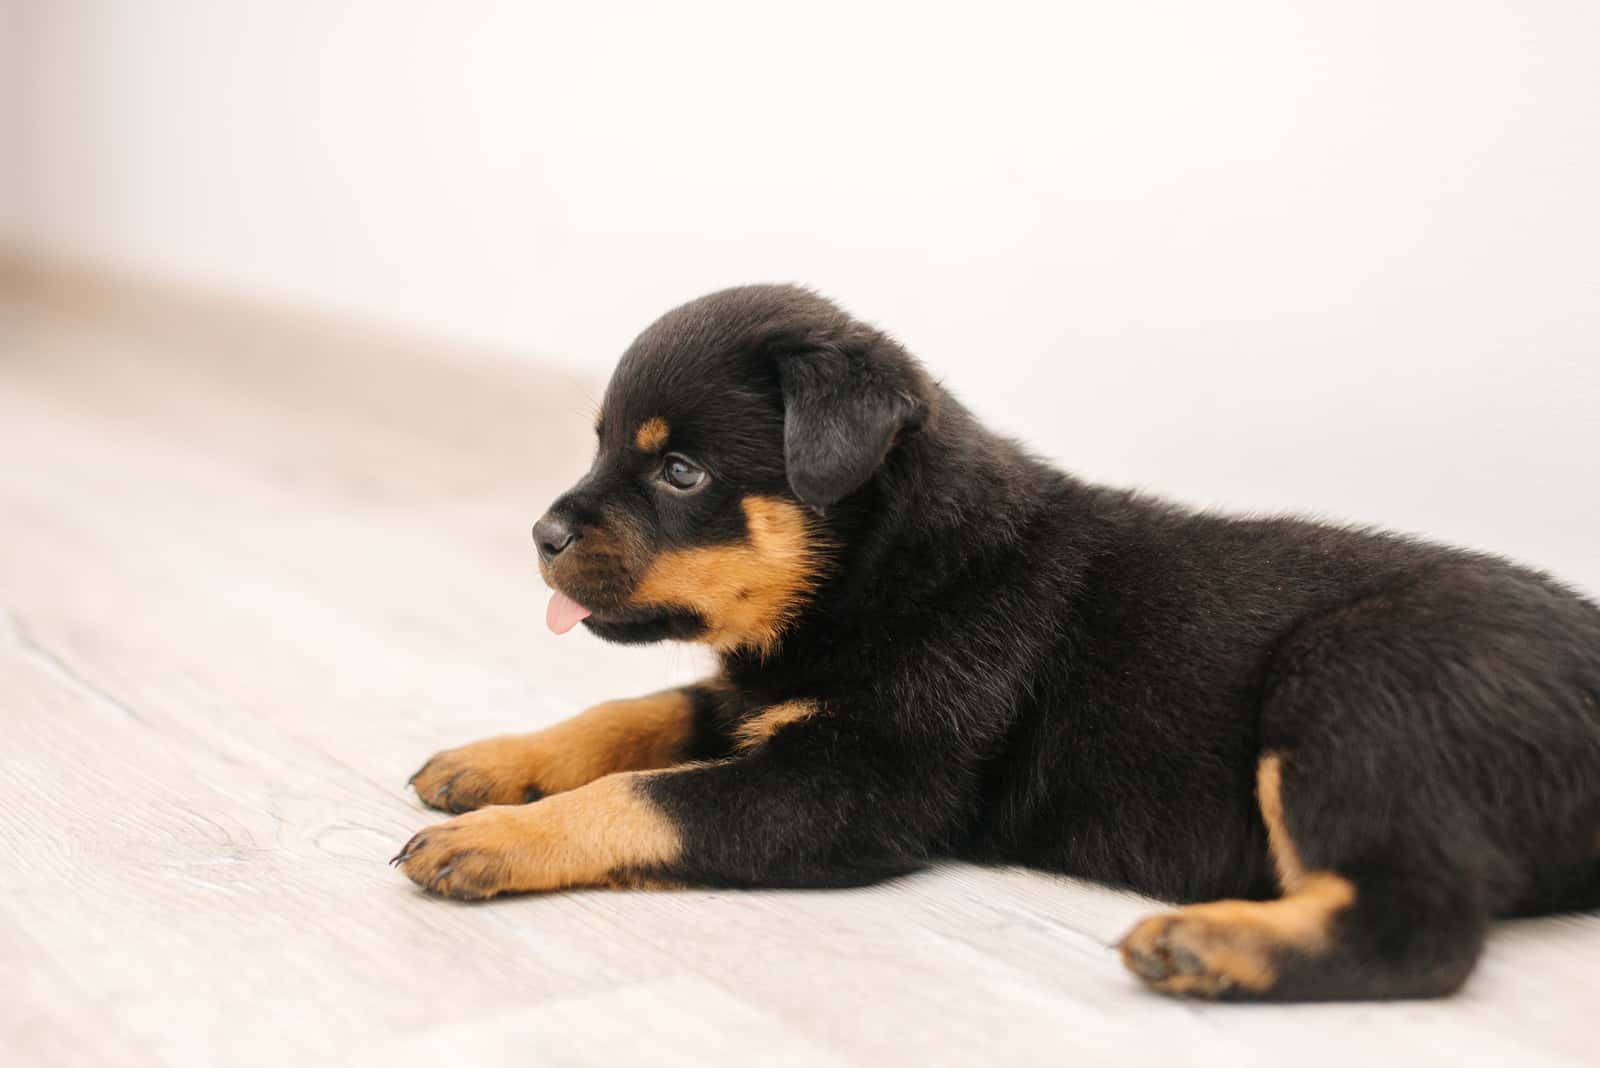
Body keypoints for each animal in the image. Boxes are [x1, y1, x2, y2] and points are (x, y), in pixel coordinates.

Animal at [396, 282, 1600, 1004]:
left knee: (1420, 925)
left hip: (1358, 688)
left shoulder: (864, 782)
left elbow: (650, 796)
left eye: (681, 472)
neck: (884, 572)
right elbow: (631, 717)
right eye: (601, 443)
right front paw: (490, 765)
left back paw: (1212, 944)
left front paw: (494, 840)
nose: (543, 535)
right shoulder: (762, 697)